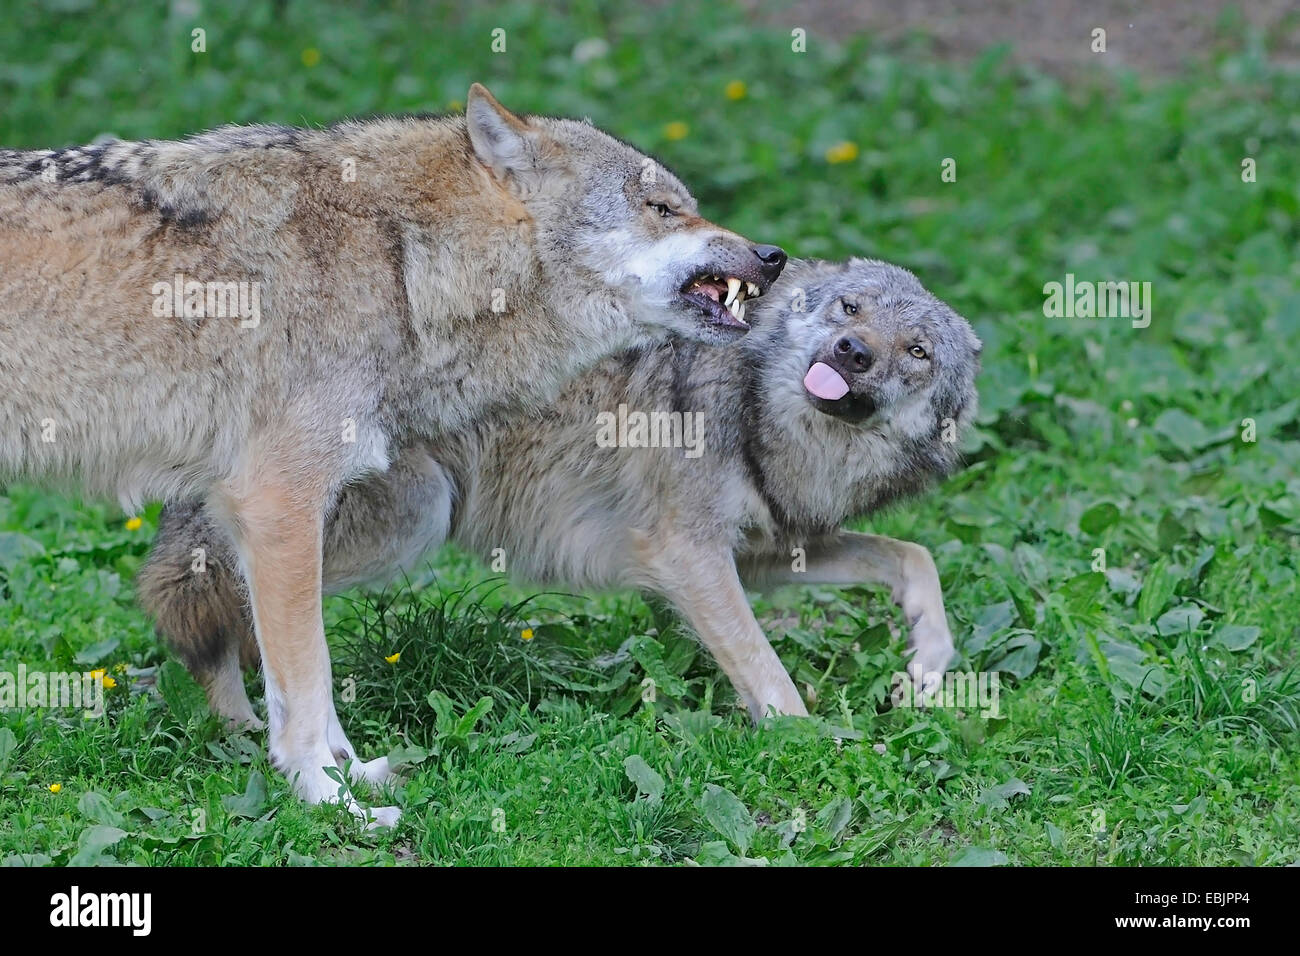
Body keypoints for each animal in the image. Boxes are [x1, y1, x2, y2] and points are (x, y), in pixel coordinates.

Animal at [0, 83, 785, 822]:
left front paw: (348, 772)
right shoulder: (279, 505)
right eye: (661, 208)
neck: (400, 254)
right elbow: (308, 681)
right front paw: (329, 799)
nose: (773, 257)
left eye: (684, 206)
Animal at [139, 256, 977, 749]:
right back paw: (240, 724)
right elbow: (770, 676)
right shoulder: (688, 555)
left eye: (917, 351)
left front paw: (928, 663)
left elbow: (915, 559)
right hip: (410, 518)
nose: (852, 353)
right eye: (850, 309)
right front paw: (808, 742)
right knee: (200, 588)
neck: (761, 411)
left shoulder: (764, 555)